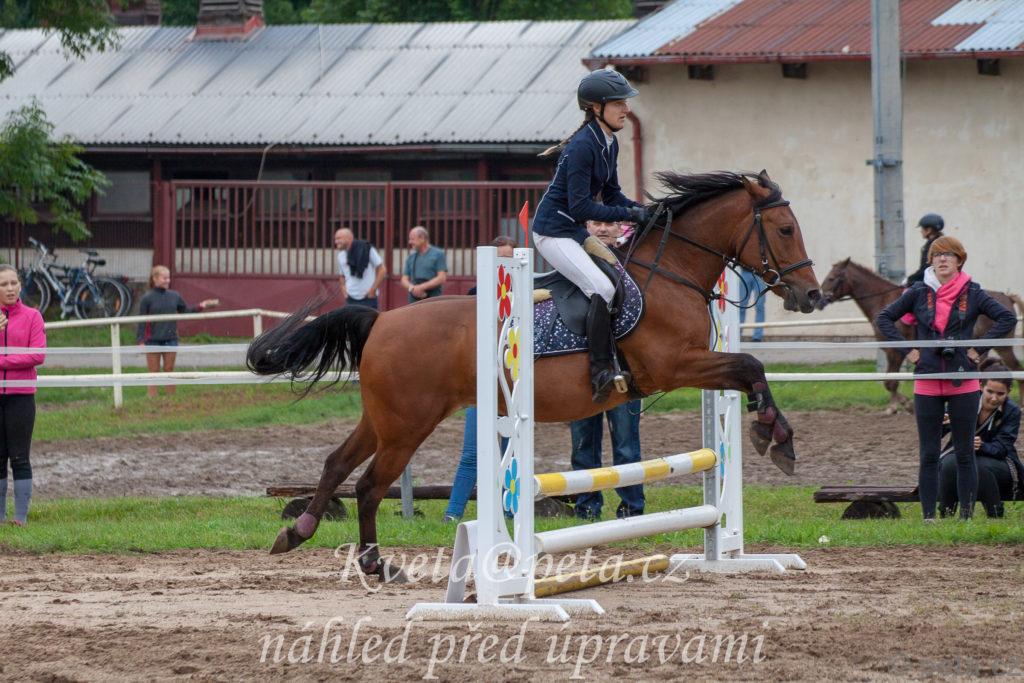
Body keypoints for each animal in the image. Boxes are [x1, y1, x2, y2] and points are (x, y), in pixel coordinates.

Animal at [246, 170, 822, 580]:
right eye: (785, 230)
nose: (812, 295)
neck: (671, 273)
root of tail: (382, 319)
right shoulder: (675, 365)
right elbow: (750, 365)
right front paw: (778, 437)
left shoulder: (691, 367)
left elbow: (747, 372)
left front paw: (772, 431)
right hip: (406, 425)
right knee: (368, 485)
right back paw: (368, 560)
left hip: (385, 419)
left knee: (338, 463)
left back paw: (302, 533)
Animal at [818, 258, 1024, 412]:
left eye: (832, 278)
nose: (819, 300)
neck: (882, 300)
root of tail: (1007, 297)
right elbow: (889, 381)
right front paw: (898, 405)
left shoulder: (895, 352)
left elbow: (890, 382)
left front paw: (903, 405)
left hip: (1003, 346)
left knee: (1017, 369)